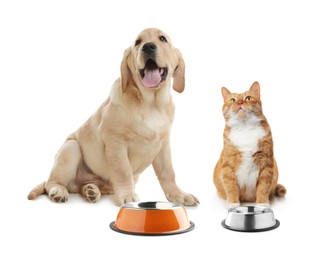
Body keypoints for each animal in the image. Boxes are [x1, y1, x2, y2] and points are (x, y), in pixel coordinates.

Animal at [28, 27, 199, 207]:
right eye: (138, 42)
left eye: (162, 39)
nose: (148, 47)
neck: (151, 104)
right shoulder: (115, 140)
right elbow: (123, 170)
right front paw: (127, 195)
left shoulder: (163, 144)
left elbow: (168, 172)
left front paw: (179, 194)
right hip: (71, 148)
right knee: (52, 182)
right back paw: (59, 191)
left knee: (83, 186)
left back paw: (90, 190)